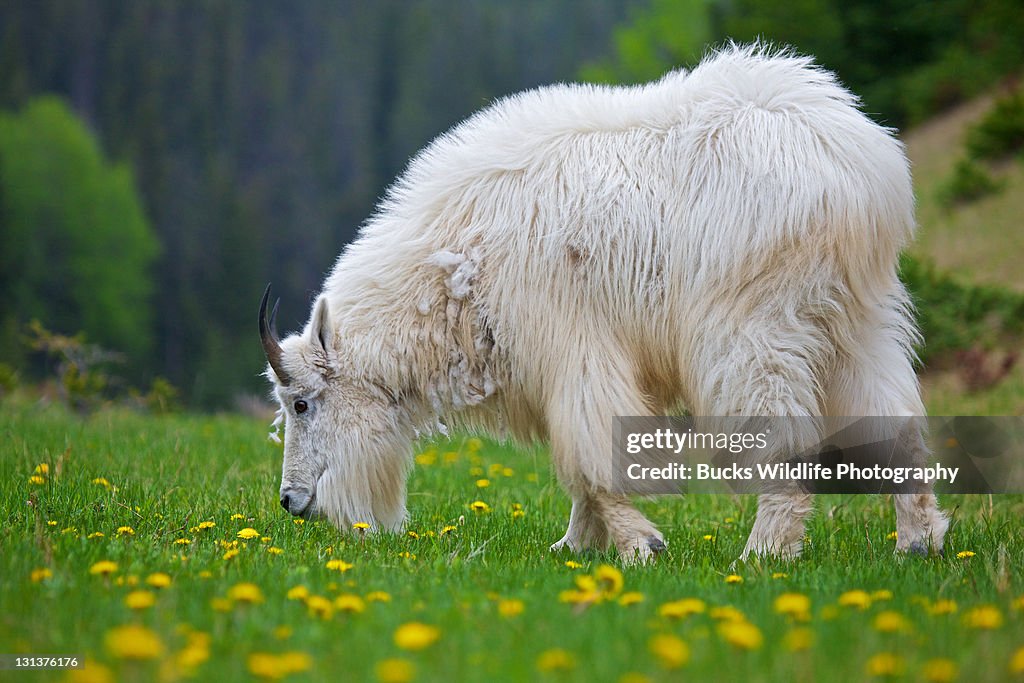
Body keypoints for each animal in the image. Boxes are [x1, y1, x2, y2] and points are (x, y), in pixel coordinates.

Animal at [260, 45, 946, 565]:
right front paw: (575, 546)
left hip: (752, 323)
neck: (455, 268)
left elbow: (593, 457)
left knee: (782, 428)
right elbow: (583, 464)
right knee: (896, 417)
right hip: (858, 316)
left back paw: (765, 551)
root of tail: (859, 171)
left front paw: (641, 545)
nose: (292, 502)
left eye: (301, 403)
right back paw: (917, 541)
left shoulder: (572, 349)